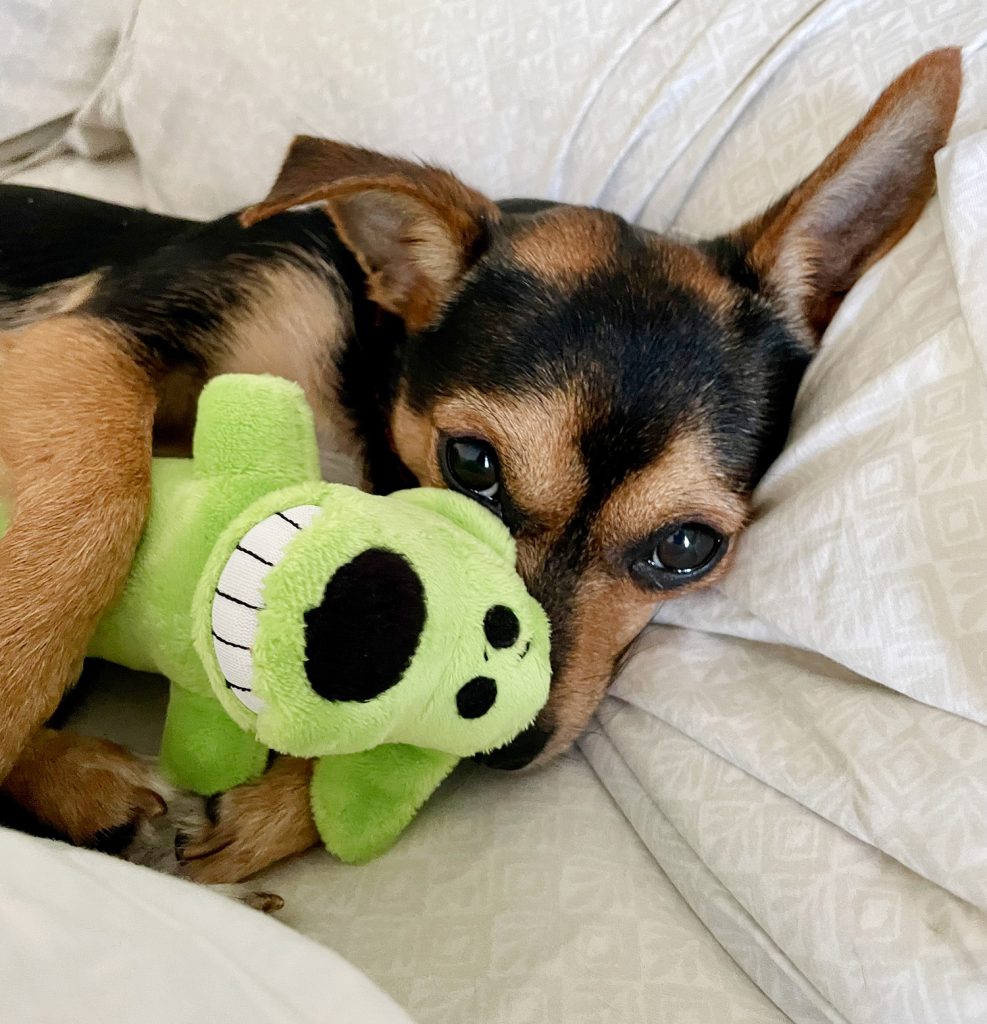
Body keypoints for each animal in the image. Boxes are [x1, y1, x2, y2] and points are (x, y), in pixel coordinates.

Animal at [0, 49, 958, 880]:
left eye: (686, 549)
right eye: (469, 462)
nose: (503, 739)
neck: (364, 396)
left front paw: (286, 804)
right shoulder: (99, 336)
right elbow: (89, 494)